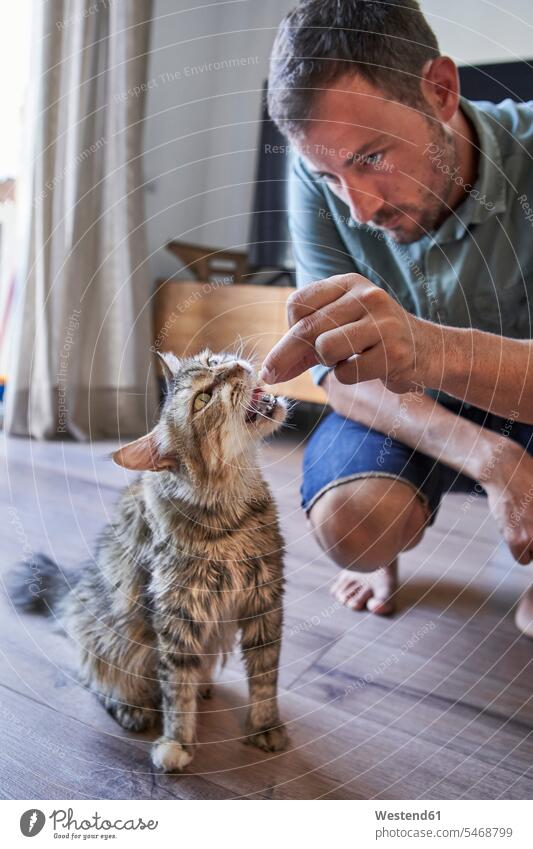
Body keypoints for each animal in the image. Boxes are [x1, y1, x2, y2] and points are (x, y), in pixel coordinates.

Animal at [8, 348, 288, 772]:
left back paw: (204, 687)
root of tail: (73, 592)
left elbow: (264, 674)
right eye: (203, 400)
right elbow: (177, 688)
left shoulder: (265, 599)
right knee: (101, 681)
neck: (230, 513)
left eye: (214, 360)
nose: (235, 366)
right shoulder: (178, 613)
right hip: (108, 642)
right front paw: (177, 743)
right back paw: (134, 710)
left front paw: (265, 726)